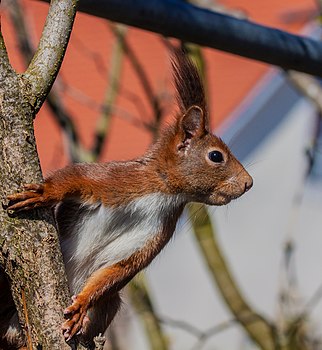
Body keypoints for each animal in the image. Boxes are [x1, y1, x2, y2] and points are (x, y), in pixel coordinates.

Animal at [3, 50, 253, 348]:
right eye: (216, 156)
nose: (249, 183)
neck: (162, 194)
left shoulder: (152, 236)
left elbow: (116, 272)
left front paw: (81, 306)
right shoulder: (109, 180)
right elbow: (72, 177)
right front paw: (44, 192)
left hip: (109, 307)